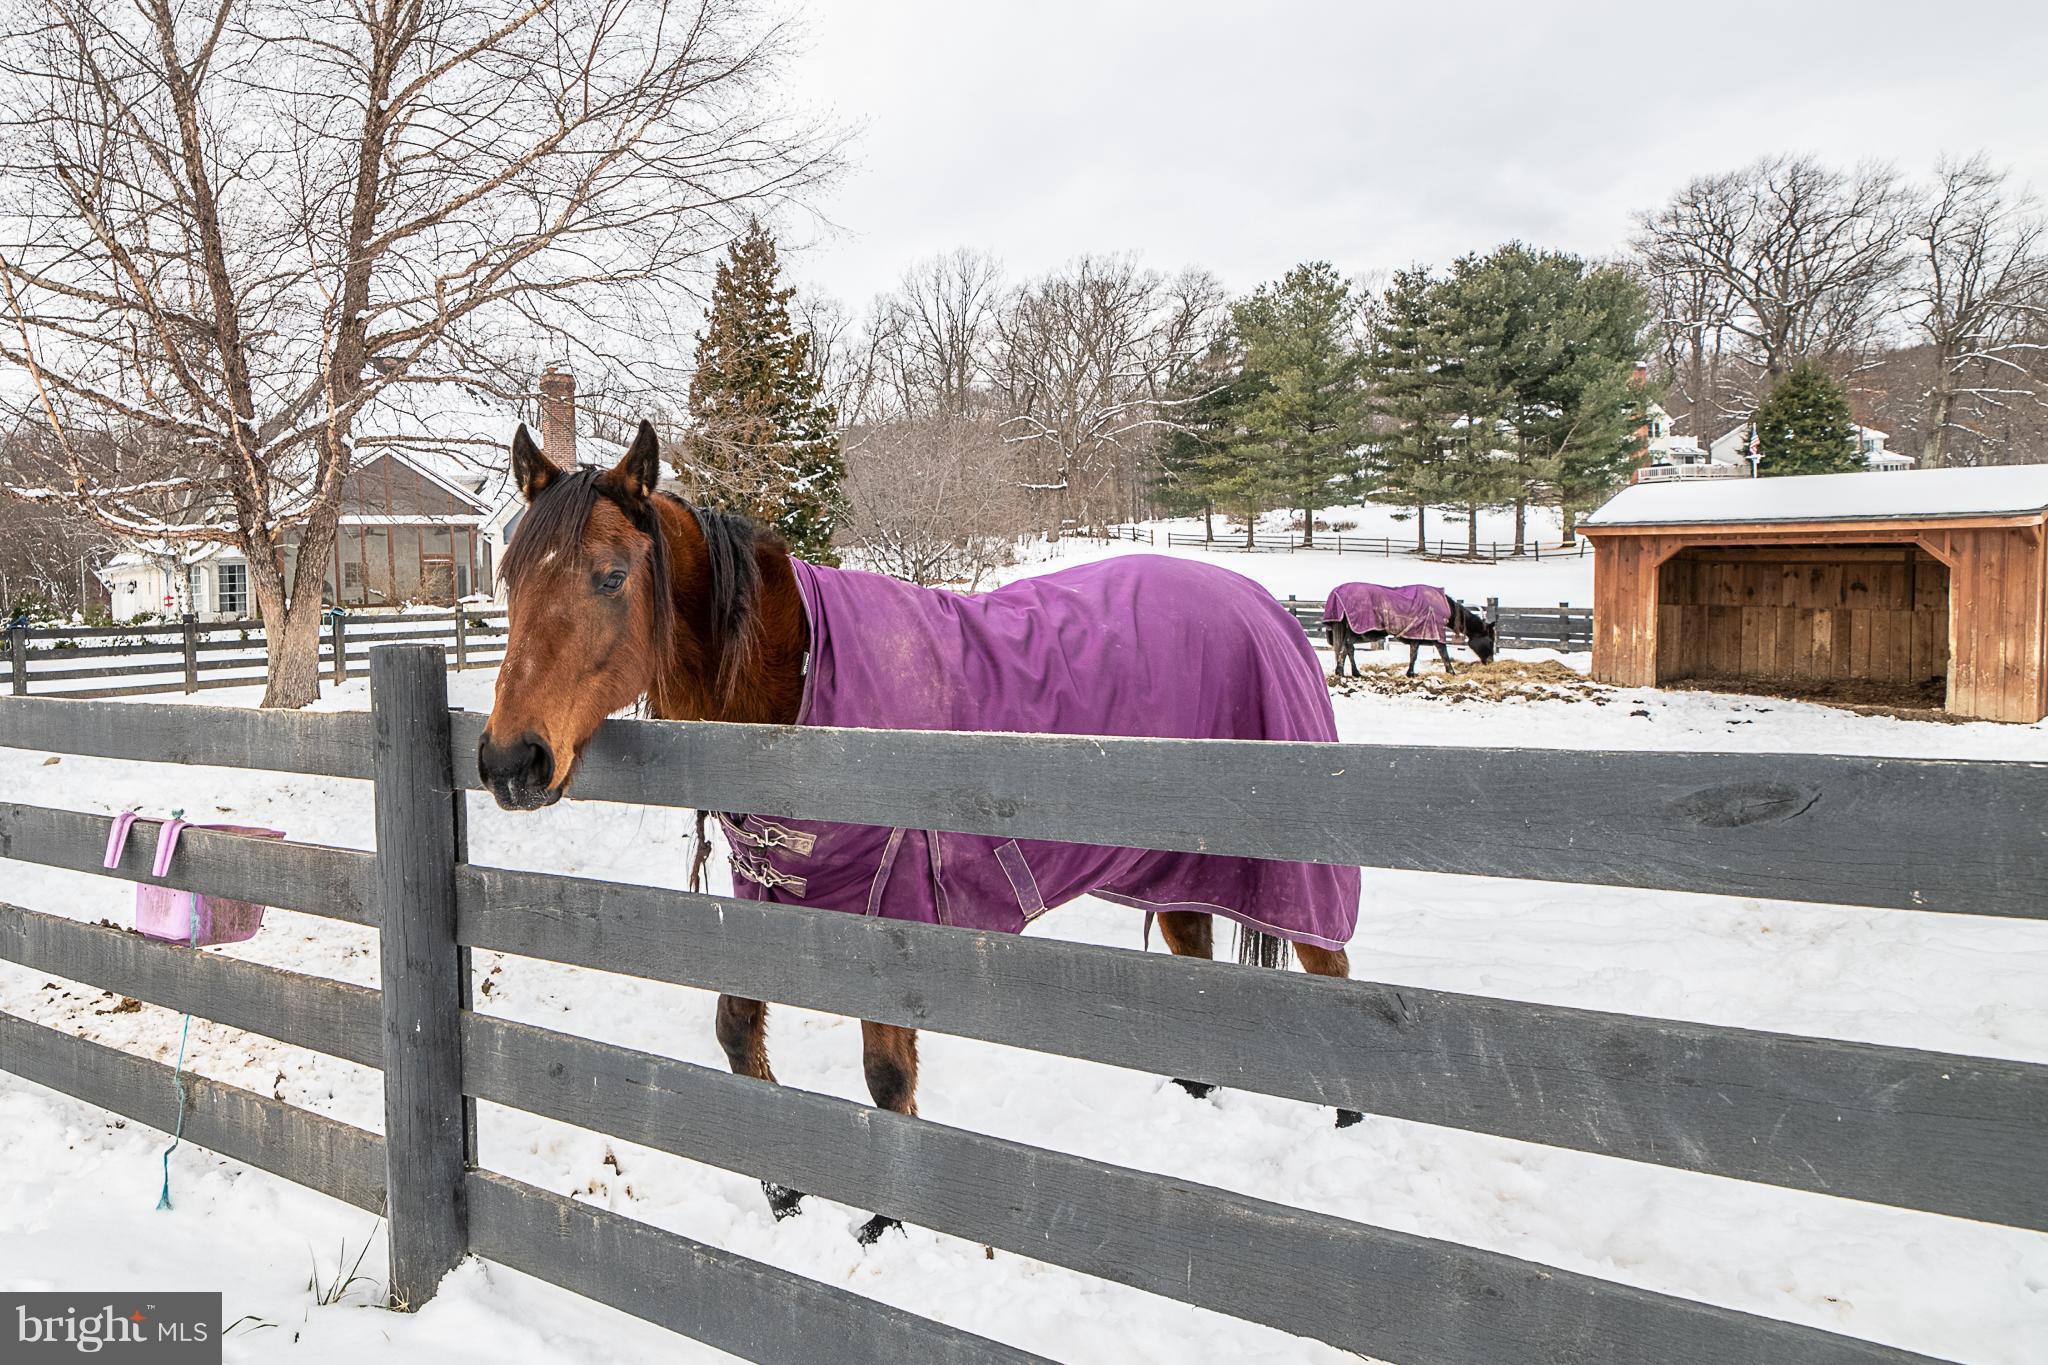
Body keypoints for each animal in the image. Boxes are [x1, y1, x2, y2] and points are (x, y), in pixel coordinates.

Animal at [479, 422, 1365, 1244]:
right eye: (510, 576)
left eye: (610, 575)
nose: (508, 761)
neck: (801, 697)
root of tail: (1268, 608)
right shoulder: (764, 905)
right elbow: (735, 1029)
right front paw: (783, 1189)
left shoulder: (892, 919)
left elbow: (885, 1074)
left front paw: (885, 1219)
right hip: (1179, 870)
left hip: (1298, 883)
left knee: (1331, 972)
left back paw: (1351, 1131)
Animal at [1323, 581, 1497, 679]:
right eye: (1490, 641)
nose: (1490, 662)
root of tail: (1336, 593)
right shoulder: (1435, 633)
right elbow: (1443, 653)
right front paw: (1451, 672)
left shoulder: (1417, 635)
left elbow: (1414, 653)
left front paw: (1410, 673)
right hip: (1359, 631)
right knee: (1348, 648)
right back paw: (1348, 672)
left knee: (1347, 648)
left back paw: (1348, 672)